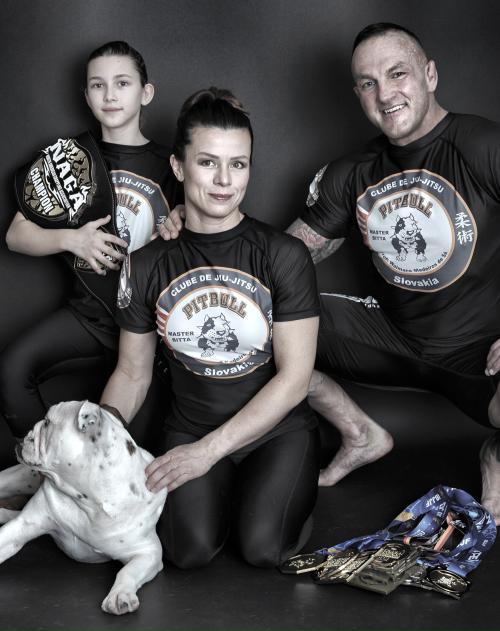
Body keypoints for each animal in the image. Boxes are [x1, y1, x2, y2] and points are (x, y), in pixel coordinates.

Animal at [0, 400, 167, 615]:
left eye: (47, 423)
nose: (24, 435)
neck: (87, 500)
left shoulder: (148, 551)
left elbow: (127, 571)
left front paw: (120, 594)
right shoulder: (24, 525)